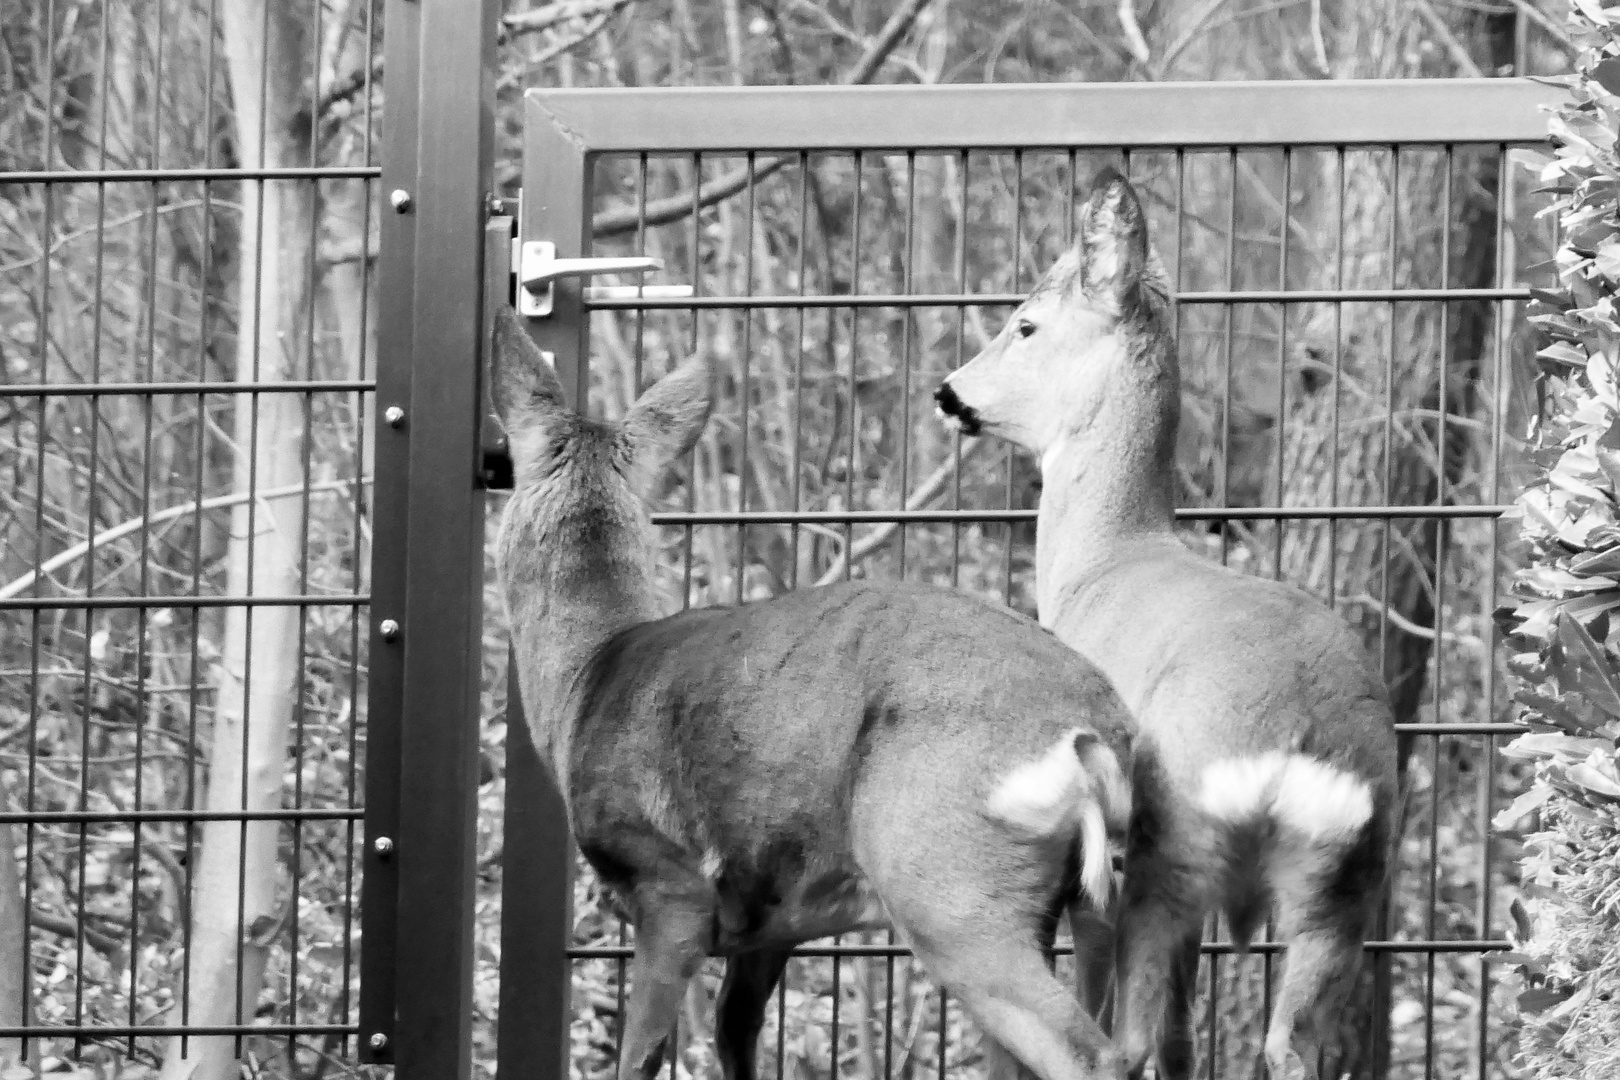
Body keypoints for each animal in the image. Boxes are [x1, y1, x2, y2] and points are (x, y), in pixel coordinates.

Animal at [489, 306, 1140, 1080]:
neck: (591, 678)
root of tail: (1091, 736)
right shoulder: (772, 925)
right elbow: (734, 1037)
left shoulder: (666, 880)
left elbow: (641, 1057)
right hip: (1092, 904)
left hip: (949, 887)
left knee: (1096, 1056)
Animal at [939, 169, 1406, 1080]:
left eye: (1026, 323)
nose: (950, 391)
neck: (1106, 561)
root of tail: (1289, 742)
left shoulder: (1095, 862)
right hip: (1343, 885)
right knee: (1283, 1043)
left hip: (1166, 854)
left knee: (1123, 1045)